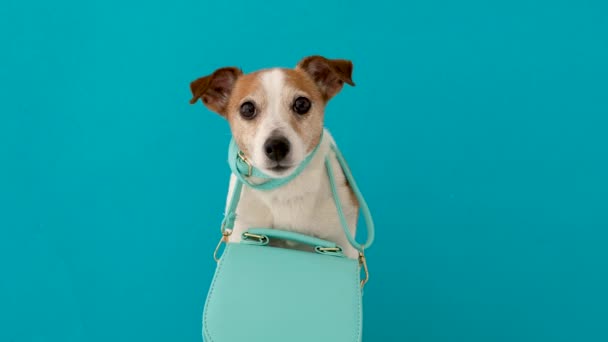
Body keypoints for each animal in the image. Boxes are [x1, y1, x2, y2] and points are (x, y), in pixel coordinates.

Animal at [190, 56, 360, 258]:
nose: (277, 146)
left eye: (302, 104)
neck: (286, 188)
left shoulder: (343, 243)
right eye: (247, 109)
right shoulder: (243, 232)